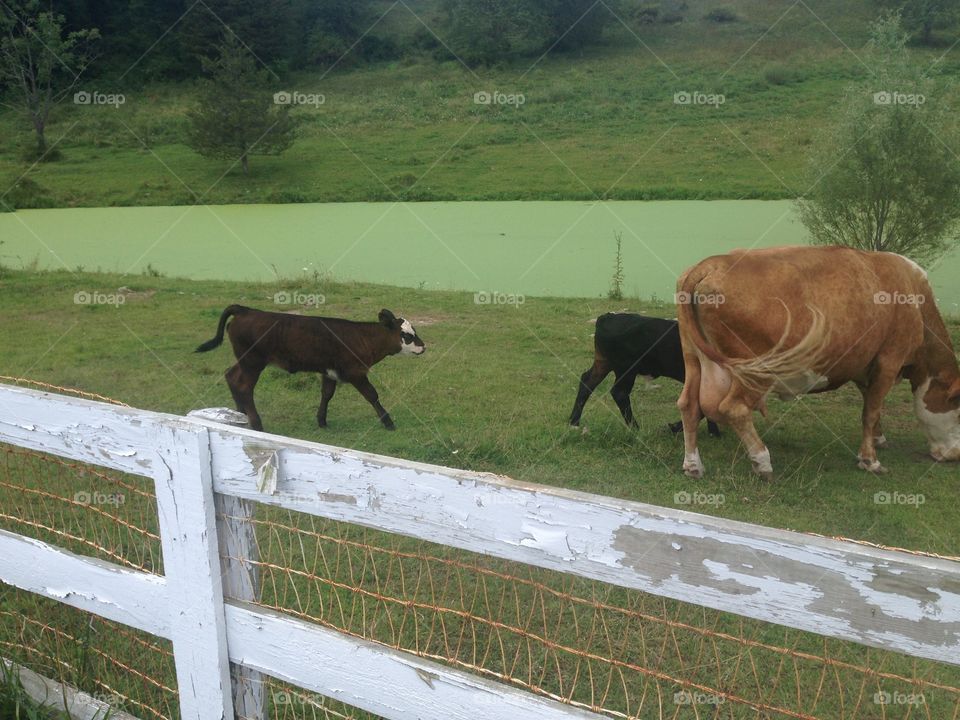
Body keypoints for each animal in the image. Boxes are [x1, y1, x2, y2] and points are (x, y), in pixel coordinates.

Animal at [195, 305, 425, 432]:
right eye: (407, 335)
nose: (424, 347)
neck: (361, 337)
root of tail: (246, 310)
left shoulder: (329, 372)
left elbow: (327, 394)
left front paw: (322, 421)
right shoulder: (355, 373)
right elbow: (372, 395)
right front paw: (388, 422)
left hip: (245, 361)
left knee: (231, 376)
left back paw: (239, 414)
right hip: (253, 363)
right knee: (243, 387)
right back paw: (257, 424)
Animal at [570, 313, 721, 437]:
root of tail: (608, 317)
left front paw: (713, 432)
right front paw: (675, 427)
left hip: (603, 363)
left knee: (587, 381)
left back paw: (574, 422)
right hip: (627, 369)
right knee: (619, 392)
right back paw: (635, 428)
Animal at [675, 245, 960, 479]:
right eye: (958, 410)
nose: (955, 456)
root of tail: (710, 264)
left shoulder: (863, 363)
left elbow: (871, 405)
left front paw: (878, 439)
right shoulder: (889, 359)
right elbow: (871, 411)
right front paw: (870, 461)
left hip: (694, 358)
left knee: (689, 405)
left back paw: (693, 465)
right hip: (756, 369)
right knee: (734, 408)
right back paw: (762, 461)